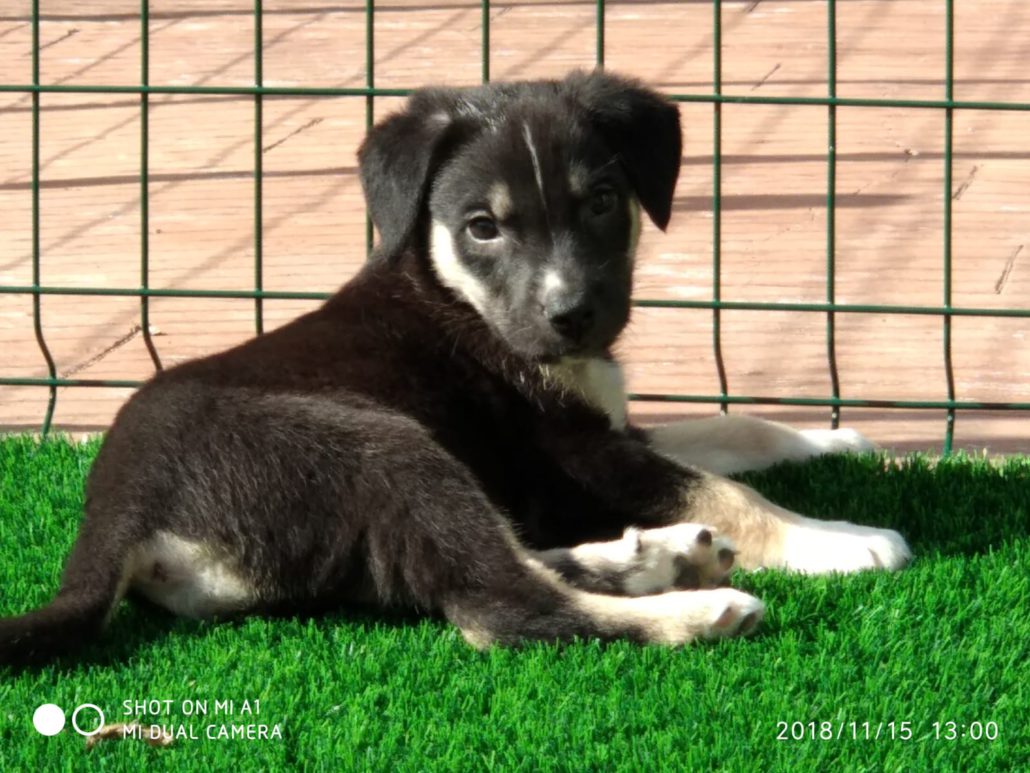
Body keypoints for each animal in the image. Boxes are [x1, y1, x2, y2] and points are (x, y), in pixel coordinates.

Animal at [0, 71, 910, 663]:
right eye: (482, 226)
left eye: (602, 202)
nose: (572, 316)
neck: (457, 295)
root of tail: (116, 506)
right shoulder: (580, 454)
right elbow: (726, 491)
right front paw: (840, 538)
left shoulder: (607, 423)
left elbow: (731, 426)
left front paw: (836, 441)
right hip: (382, 447)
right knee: (499, 606)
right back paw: (702, 605)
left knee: (486, 570)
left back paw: (653, 559)